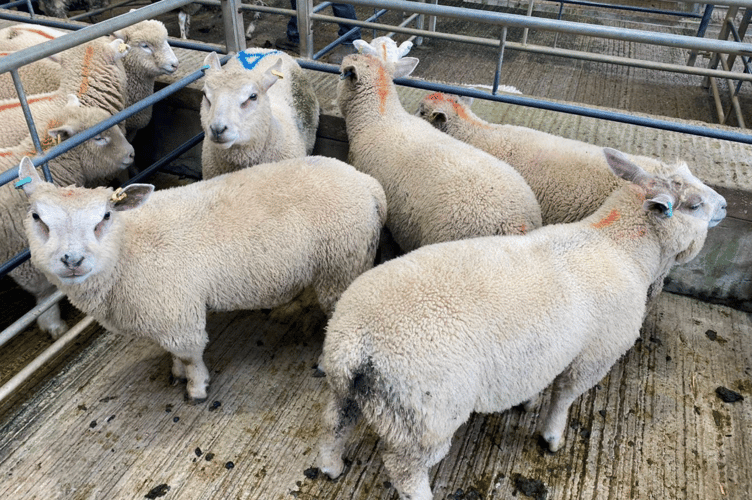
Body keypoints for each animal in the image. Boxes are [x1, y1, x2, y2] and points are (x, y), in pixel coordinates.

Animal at [17, 155, 387, 402]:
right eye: (36, 217)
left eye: (105, 217)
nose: (72, 260)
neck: (127, 249)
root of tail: (367, 183)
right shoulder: (163, 316)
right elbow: (174, 354)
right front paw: (177, 374)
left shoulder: (177, 314)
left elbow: (189, 354)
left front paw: (195, 388)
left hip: (340, 265)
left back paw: (323, 363)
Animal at [316, 148, 727, 500]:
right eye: (694, 205)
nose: (725, 205)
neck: (619, 245)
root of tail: (355, 343)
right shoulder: (595, 354)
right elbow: (565, 396)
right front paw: (551, 436)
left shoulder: (552, 349)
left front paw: (528, 402)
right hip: (427, 417)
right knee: (405, 470)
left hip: (348, 390)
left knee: (335, 424)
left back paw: (330, 467)